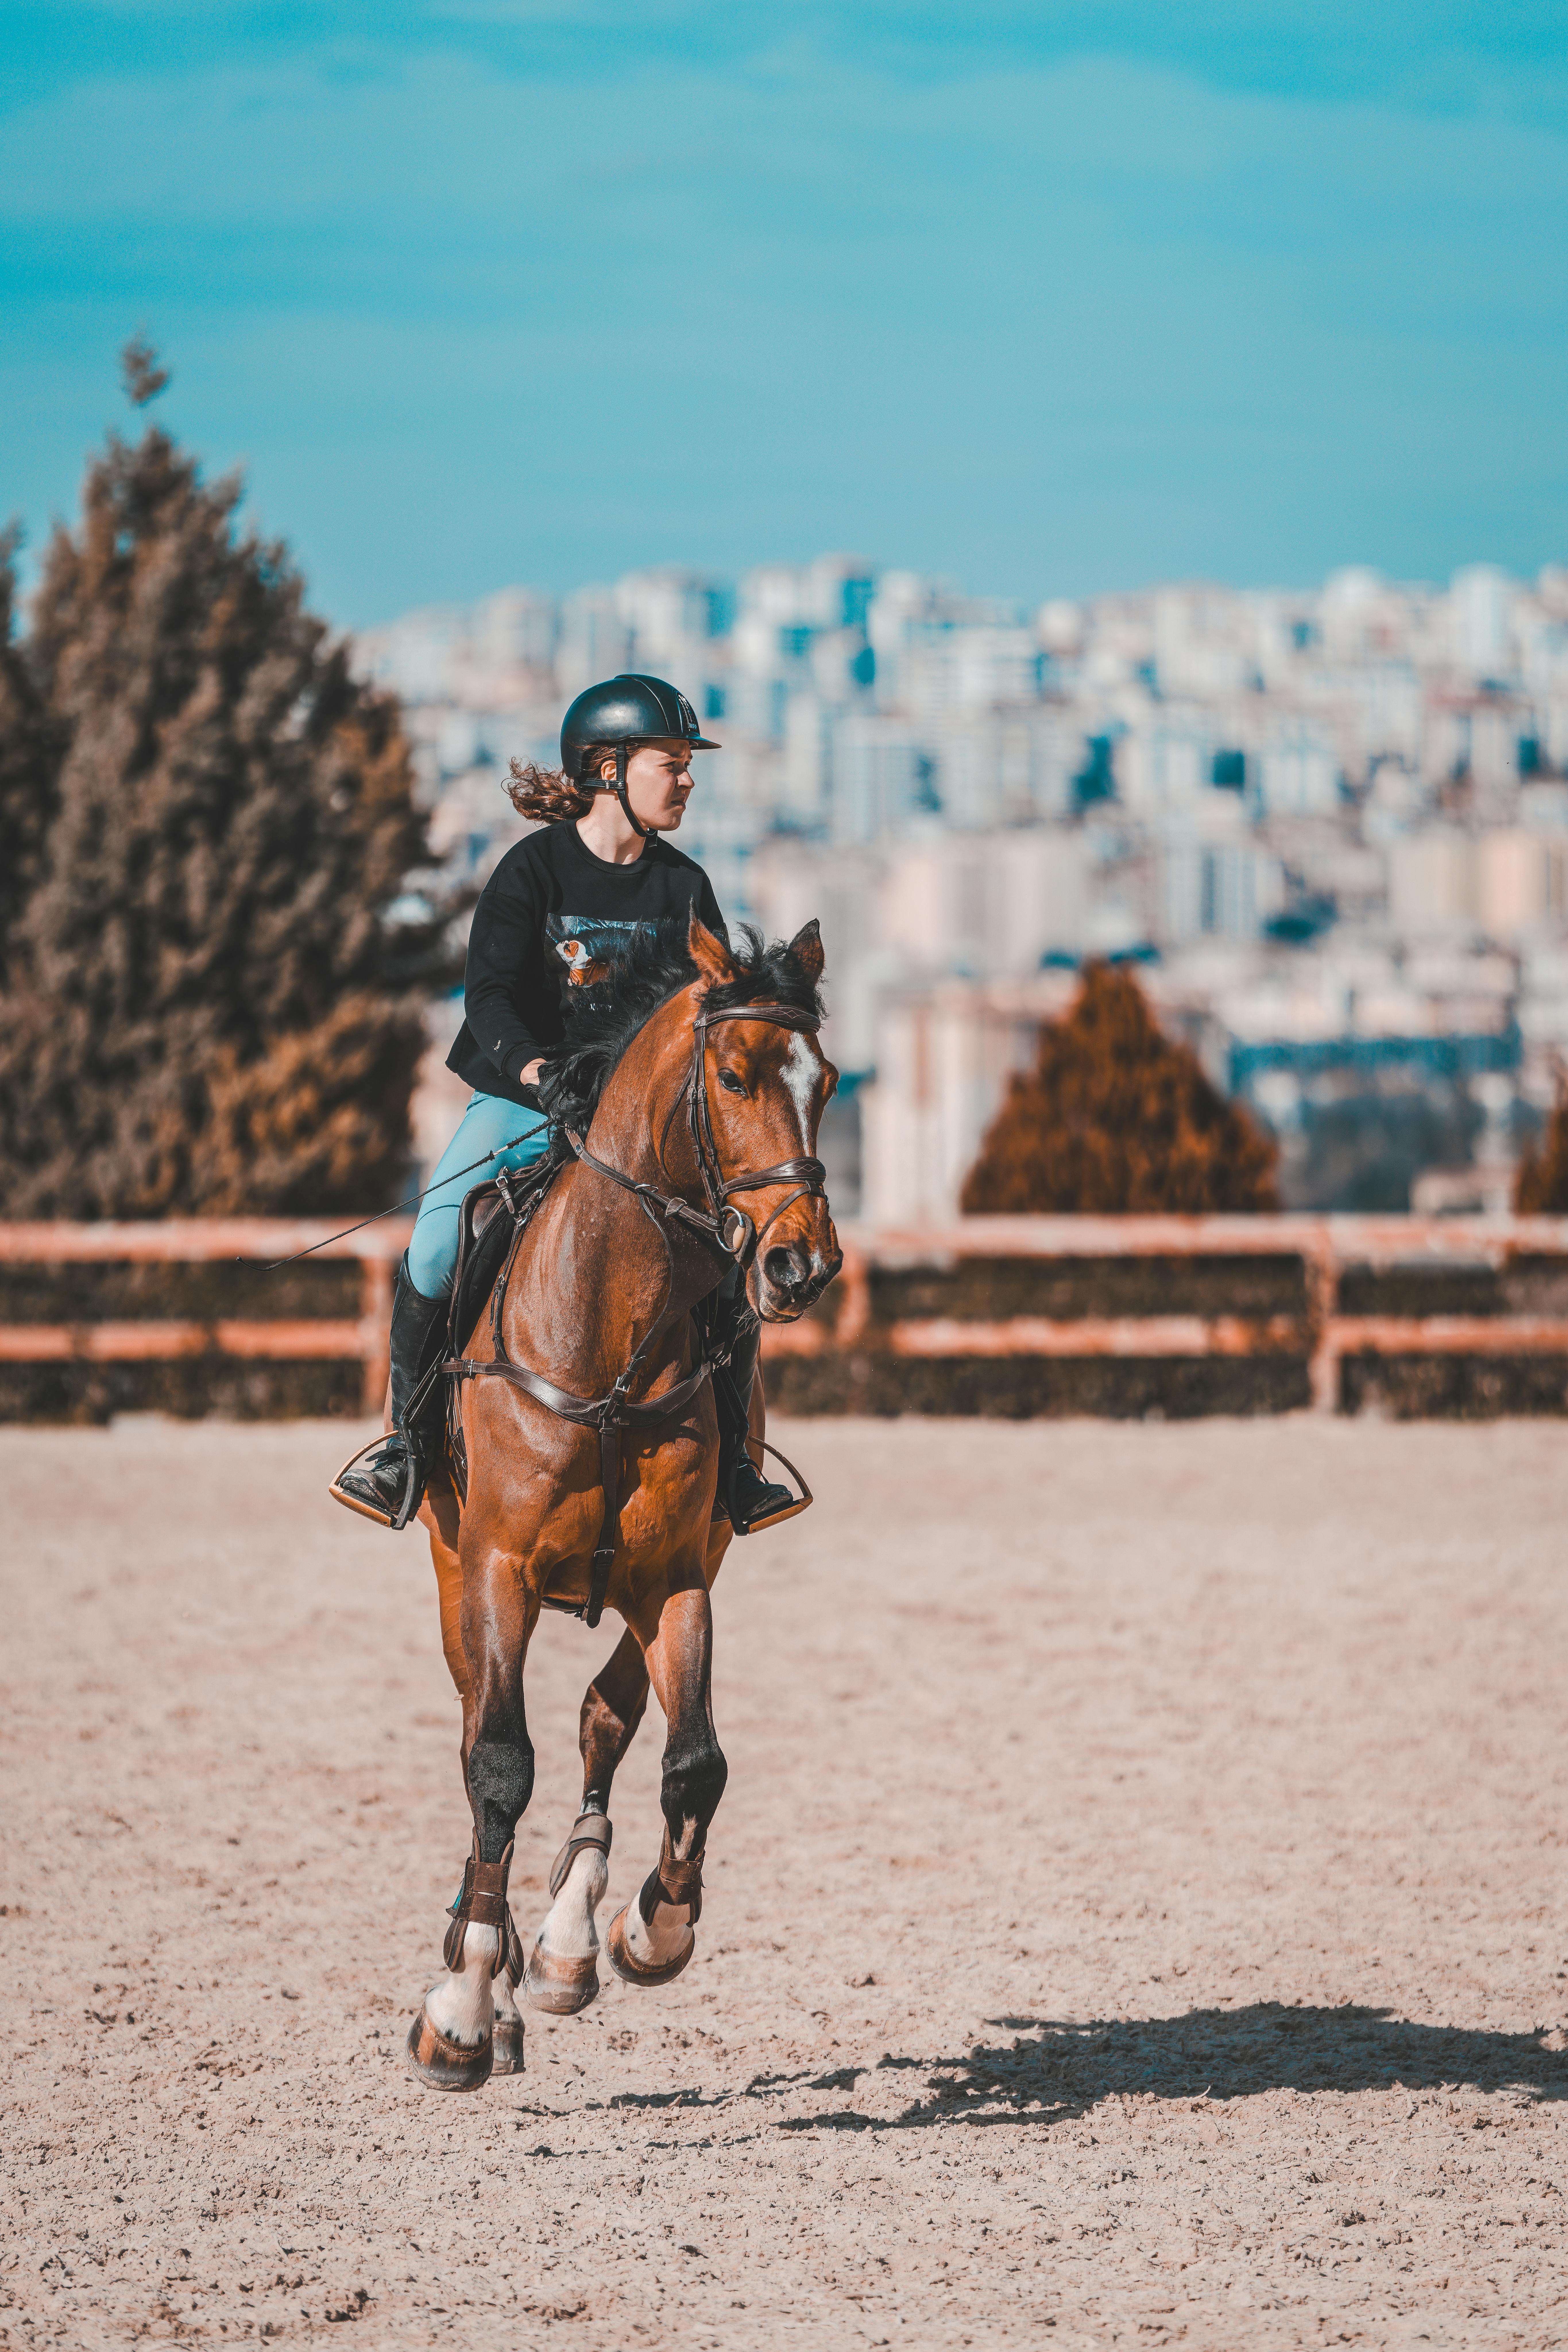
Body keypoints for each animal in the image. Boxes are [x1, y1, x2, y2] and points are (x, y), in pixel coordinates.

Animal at [406, 911, 842, 2091]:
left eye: (827, 1081)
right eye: (733, 1076)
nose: (803, 1264)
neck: (611, 1329)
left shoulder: (678, 1579)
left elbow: (693, 1761)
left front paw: (652, 1930)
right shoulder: (497, 1568)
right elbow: (498, 1764)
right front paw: (462, 2009)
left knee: (607, 1720)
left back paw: (561, 1945)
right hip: (456, 1572)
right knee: (480, 1731)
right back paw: (492, 1970)